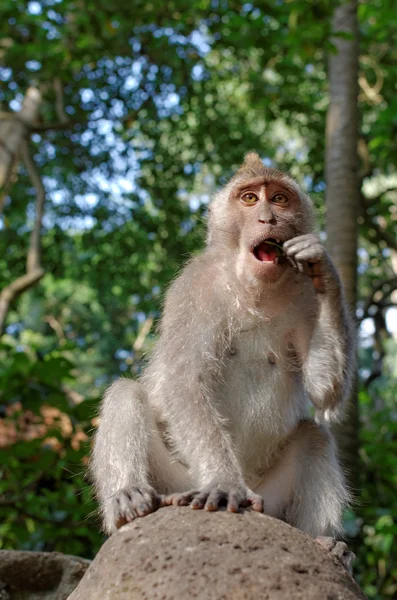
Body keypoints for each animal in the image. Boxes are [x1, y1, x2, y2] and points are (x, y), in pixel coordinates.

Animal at [90, 154, 352, 552]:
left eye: (279, 199)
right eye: (249, 199)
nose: (268, 219)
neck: (254, 287)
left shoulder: (305, 295)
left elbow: (325, 390)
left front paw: (322, 266)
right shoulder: (194, 288)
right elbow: (186, 381)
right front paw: (224, 485)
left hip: (271, 504)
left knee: (314, 436)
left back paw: (322, 542)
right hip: (179, 483)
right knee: (125, 393)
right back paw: (128, 500)